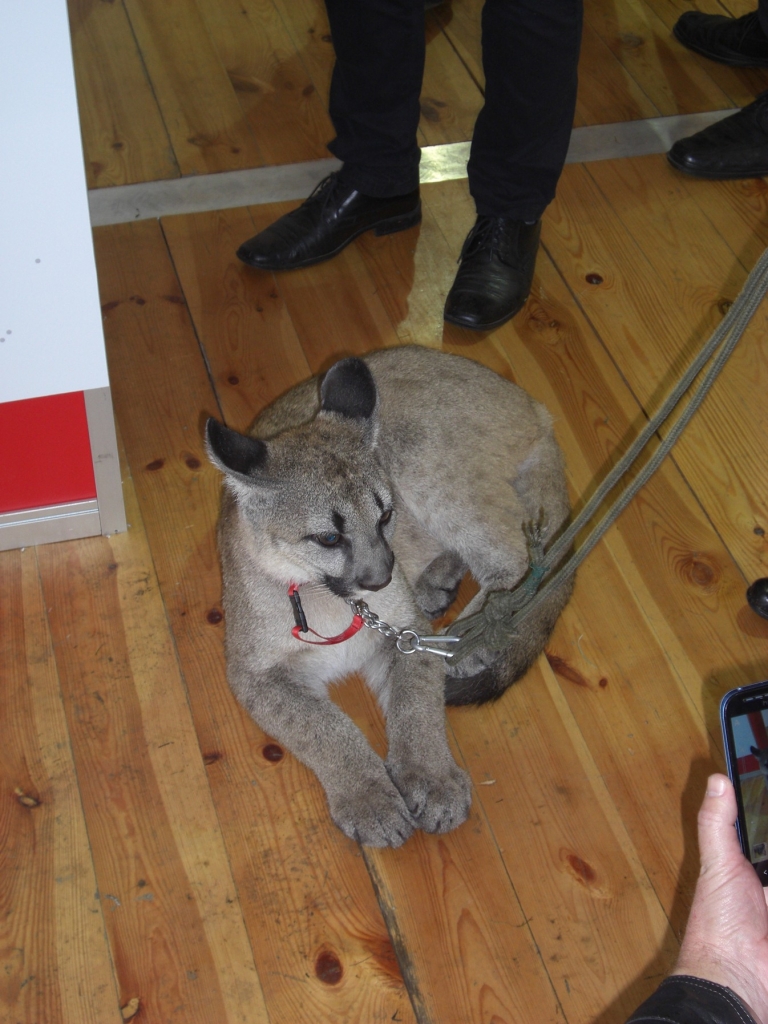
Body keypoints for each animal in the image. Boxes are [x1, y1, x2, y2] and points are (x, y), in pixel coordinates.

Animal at [205, 346, 573, 847]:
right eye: (328, 538)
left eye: (385, 515)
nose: (381, 578)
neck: (332, 600)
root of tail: (532, 403)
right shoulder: (257, 675)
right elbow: (324, 729)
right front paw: (371, 800)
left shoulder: (408, 633)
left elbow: (415, 705)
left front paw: (432, 781)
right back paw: (440, 585)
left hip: (427, 465)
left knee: (524, 558)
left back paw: (472, 636)